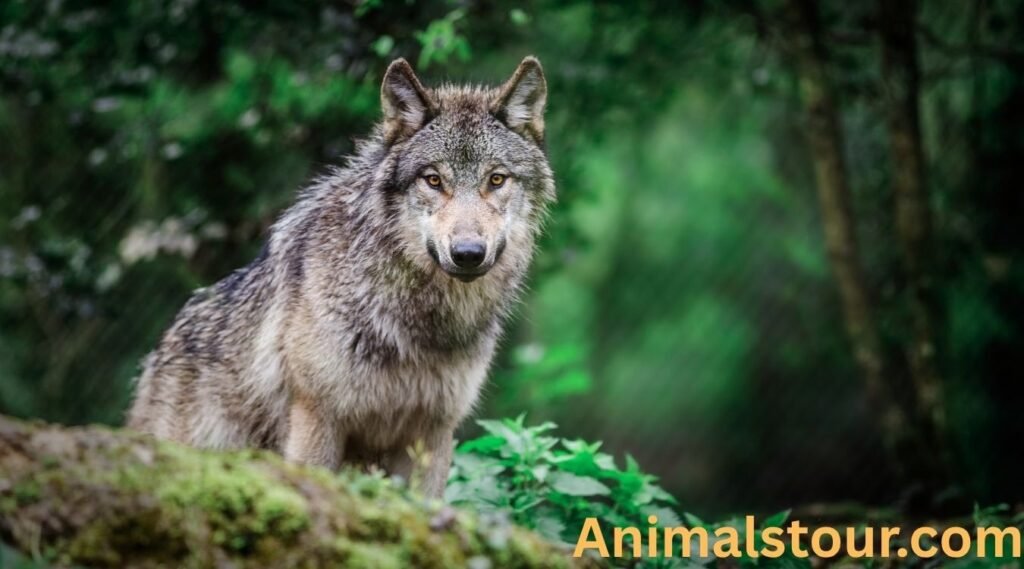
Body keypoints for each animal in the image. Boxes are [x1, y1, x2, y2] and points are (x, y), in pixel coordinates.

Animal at [127, 57, 554, 497]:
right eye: (433, 180)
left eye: (496, 179)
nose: (468, 254)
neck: (417, 324)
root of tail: (161, 349)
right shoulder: (317, 418)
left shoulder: (433, 433)